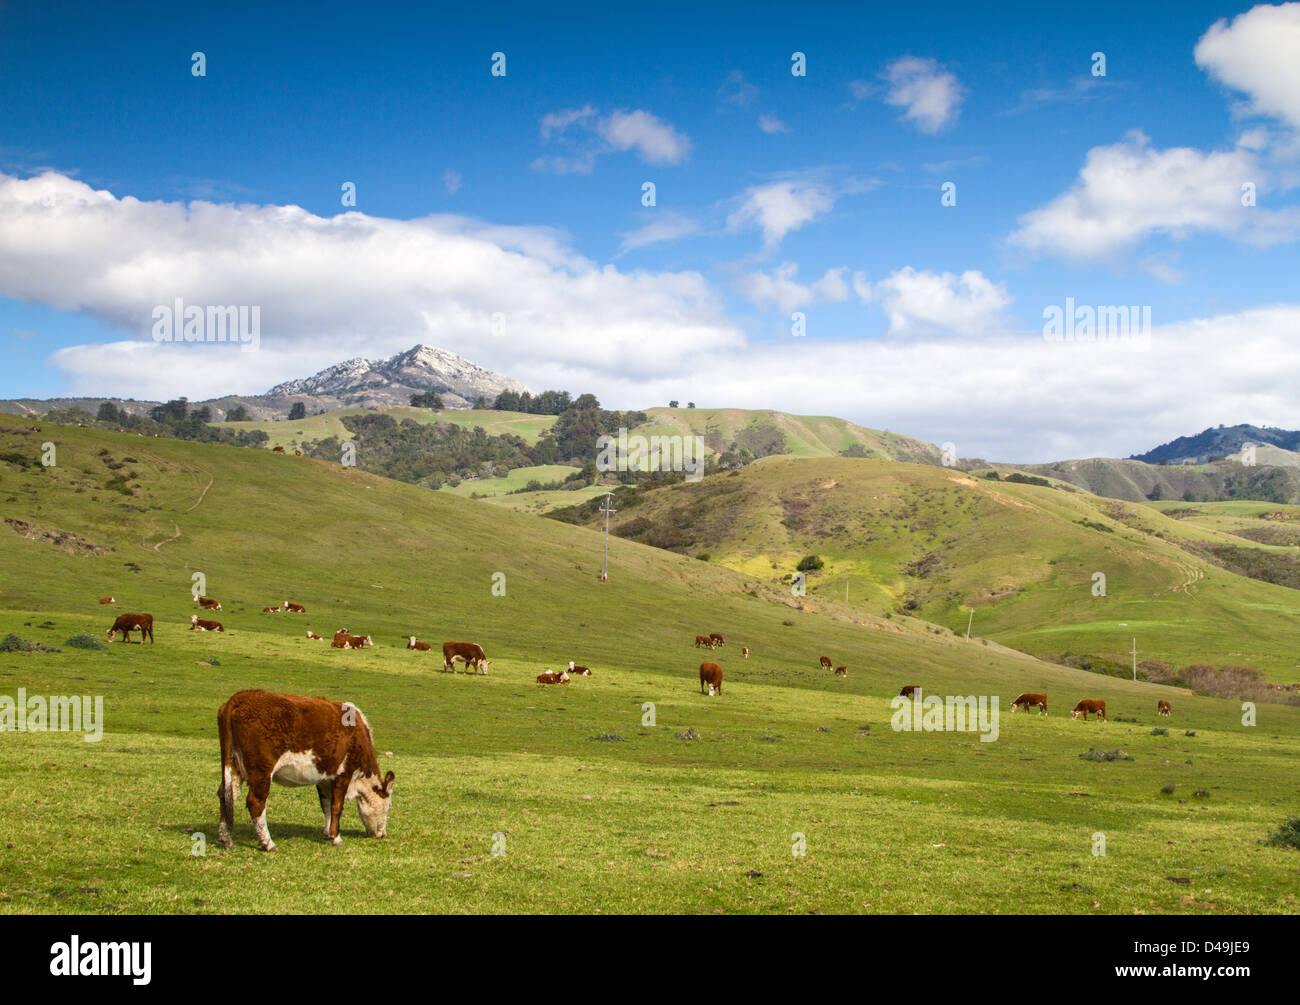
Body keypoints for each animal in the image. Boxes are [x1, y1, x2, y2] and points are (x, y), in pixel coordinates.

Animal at [217, 691, 395, 847]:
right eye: (388, 806)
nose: (382, 834)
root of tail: (242, 696)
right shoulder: (344, 773)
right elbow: (337, 806)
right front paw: (336, 838)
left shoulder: (325, 777)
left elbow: (326, 805)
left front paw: (327, 833)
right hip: (261, 770)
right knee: (256, 801)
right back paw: (268, 843)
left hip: (234, 764)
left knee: (227, 794)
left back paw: (225, 839)